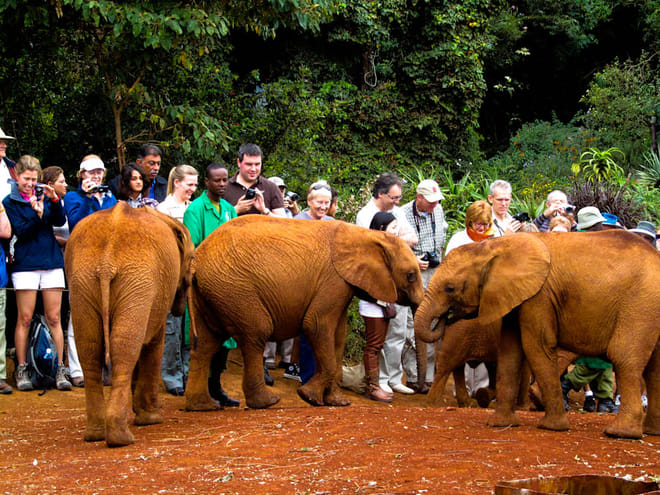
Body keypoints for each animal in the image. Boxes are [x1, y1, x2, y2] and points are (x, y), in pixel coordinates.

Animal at [65, 203, 194, 447]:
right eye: (192, 258)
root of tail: (106, 263)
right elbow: (154, 343)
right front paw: (151, 419)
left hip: (82, 282)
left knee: (91, 350)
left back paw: (96, 434)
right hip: (136, 281)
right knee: (125, 350)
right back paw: (121, 438)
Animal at [185, 215, 424, 411]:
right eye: (411, 275)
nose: (419, 389)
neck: (368, 235)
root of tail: (197, 258)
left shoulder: (342, 285)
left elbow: (338, 336)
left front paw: (338, 402)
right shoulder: (333, 279)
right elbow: (316, 325)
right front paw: (308, 397)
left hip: (212, 291)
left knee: (205, 344)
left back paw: (203, 406)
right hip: (235, 289)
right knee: (256, 334)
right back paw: (267, 402)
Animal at [414, 230, 660, 439]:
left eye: (450, 288)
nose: (446, 316)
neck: (496, 246)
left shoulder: (539, 296)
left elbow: (535, 347)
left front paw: (551, 427)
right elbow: (511, 352)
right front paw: (500, 424)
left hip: (640, 305)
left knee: (625, 358)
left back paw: (621, 433)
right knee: (652, 368)